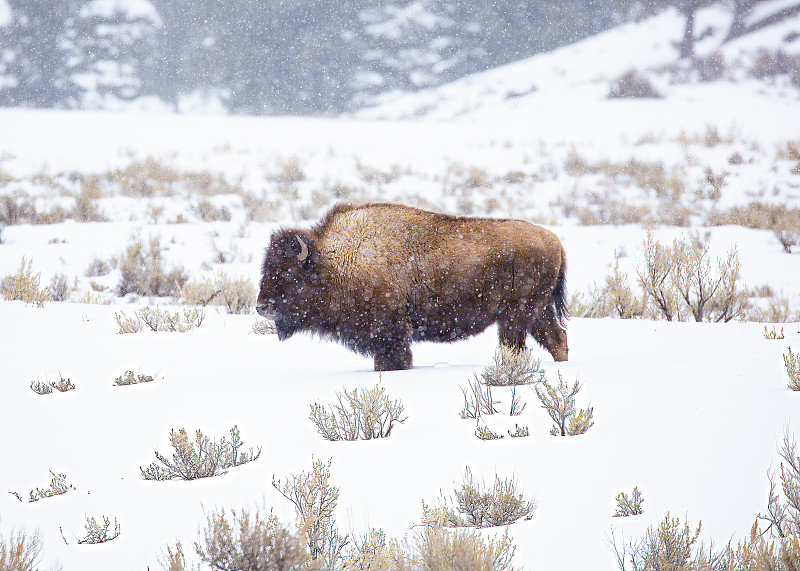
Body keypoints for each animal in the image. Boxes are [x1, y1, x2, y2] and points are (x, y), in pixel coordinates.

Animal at [258, 202, 568, 370]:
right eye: (266, 269)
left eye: (288, 274)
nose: (262, 307)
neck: (335, 263)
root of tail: (556, 241)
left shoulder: (390, 331)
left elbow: (393, 360)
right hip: (537, 311)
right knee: (557, 338)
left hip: (516, 315)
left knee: (517, 346)